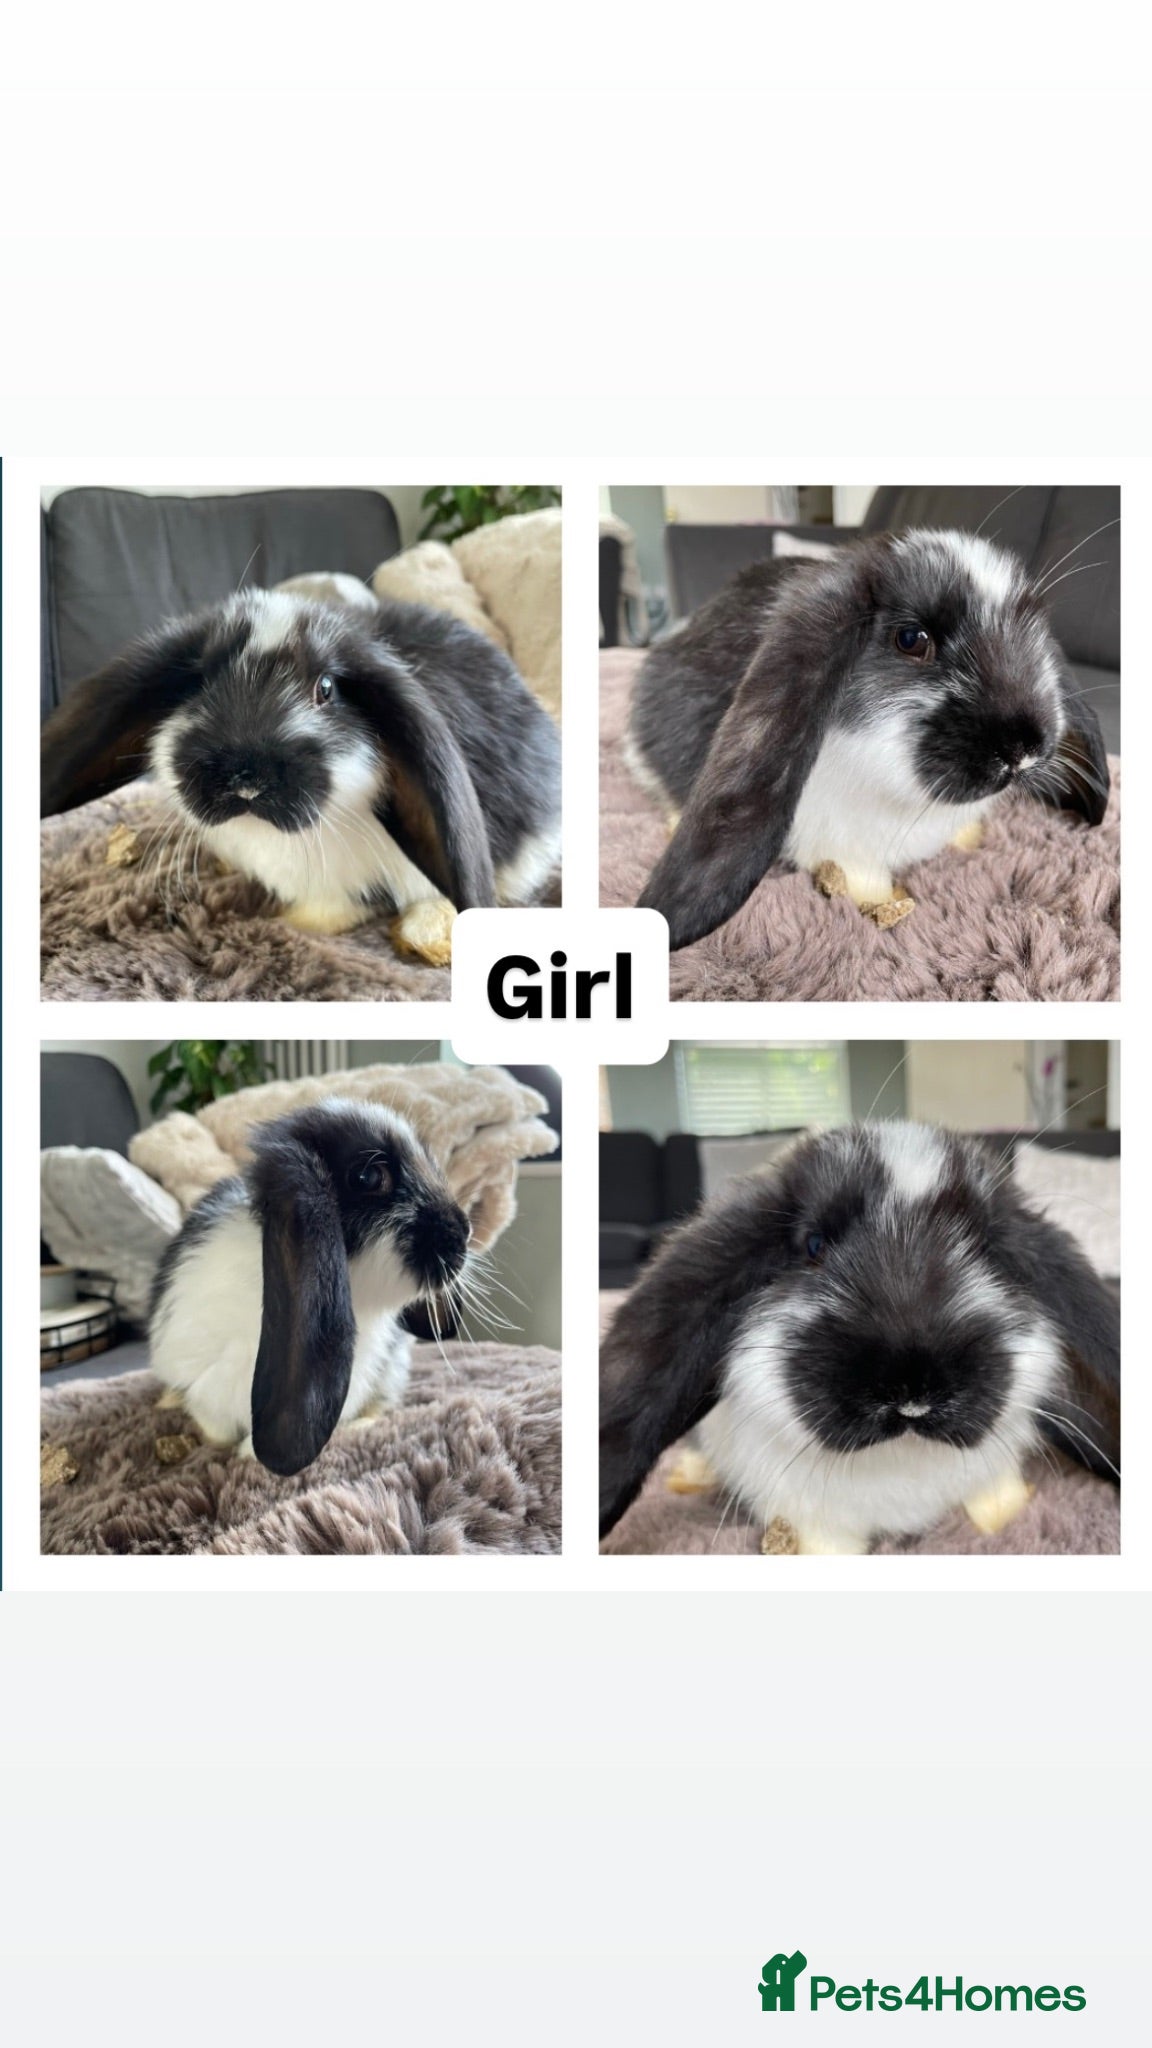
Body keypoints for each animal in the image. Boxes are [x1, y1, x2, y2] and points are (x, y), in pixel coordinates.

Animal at [599, 1122, 1120, 1553]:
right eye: (813, 1245)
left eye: (988, 1251)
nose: (913, 1392)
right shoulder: (811, 1523)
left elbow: (998, 1506)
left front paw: (1003, 1520)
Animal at [628, 530, 1110, 948]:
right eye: (911, 639)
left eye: (1034, 634)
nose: (1023, 751)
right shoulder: (841, 846)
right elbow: (863, 882)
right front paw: (884, 902)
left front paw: (970, 839)